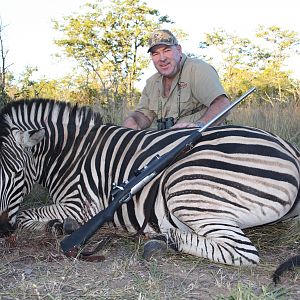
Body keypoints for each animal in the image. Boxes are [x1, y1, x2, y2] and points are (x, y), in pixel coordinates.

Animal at [0, 97, 298, 266]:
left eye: (16, 174)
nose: (3, 229)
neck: (73, 153)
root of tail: (290, 151)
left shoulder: (82, 205)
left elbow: (27, 214)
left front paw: (58, 226)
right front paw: (57, 225)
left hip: (186, 189)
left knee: (243, 252)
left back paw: (160, 239)